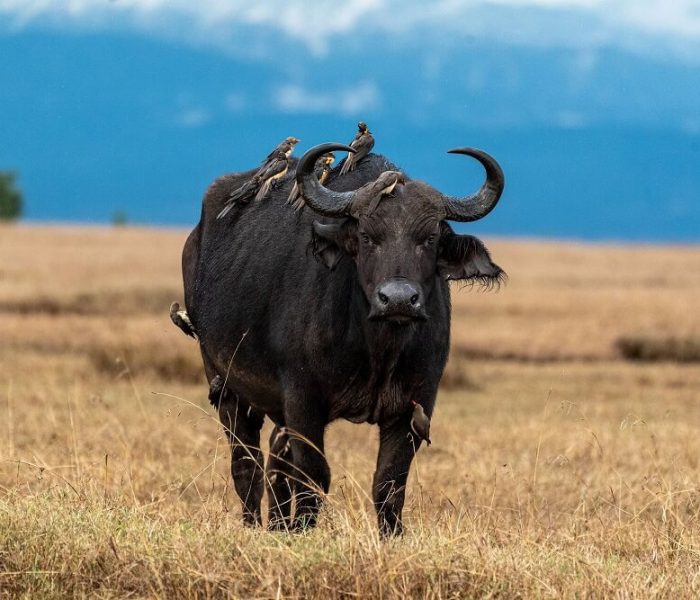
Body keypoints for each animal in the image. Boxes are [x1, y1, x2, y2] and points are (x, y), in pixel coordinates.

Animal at [181, 142, 505, 535]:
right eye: (366, 237)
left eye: (429, 238)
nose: (398, 299)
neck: (378, 350)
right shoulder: (303, 400)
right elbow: (314, 474)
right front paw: (303, 528)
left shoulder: (416, 405)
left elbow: (389, 481)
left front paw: (391, 534)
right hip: (225, 385)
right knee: (247, 463)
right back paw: (255, 525)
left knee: (275, 461)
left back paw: (278, 525)